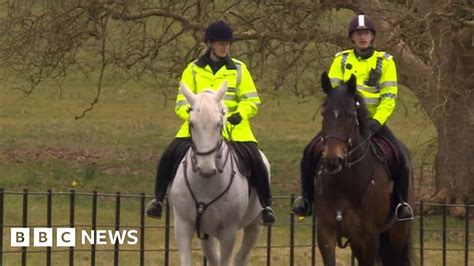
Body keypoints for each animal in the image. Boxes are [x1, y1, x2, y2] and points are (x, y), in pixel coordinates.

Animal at [170, 81, 268, 266]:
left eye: (218, 123)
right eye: (192, 124)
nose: (206, 168)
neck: (206, 185)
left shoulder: (228, 232)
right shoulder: (184, 225)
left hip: (253, 226)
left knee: (241, 257)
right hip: (206, 233)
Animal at [314, 72, 414, 266]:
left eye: (350, 115)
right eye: (323, 113)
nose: (332, 160)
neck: (344, 185)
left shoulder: (369, 237)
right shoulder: (326, 233)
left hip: (397, 233)